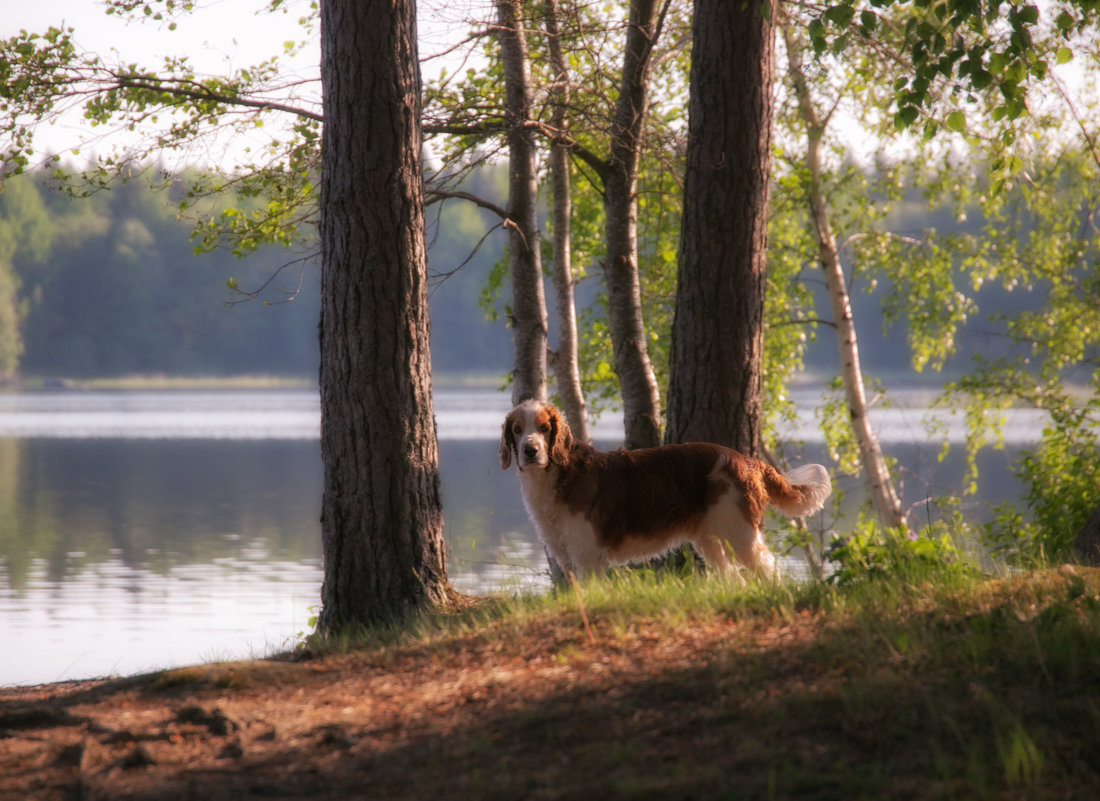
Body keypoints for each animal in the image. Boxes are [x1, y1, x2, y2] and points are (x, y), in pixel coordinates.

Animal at [503, 402, 827, 580]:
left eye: (544, 428)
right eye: (517, 430)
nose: (530, 451)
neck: (560, 474)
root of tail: (748, 461)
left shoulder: (587, 555)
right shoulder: (567, 557)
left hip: (740, 534)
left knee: (769, 570)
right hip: (711, 541)